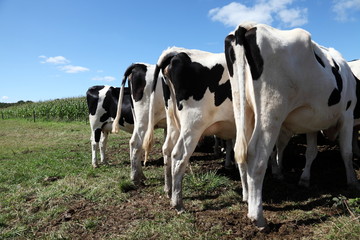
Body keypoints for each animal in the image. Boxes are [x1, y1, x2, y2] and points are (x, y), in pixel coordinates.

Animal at [142, 47, 235, 210]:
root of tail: (178, 52)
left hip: (173, 121)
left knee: (167, 149)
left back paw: (168, 190)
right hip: (193, 124)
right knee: (178, 155)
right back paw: (177, 202)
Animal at [225, 23, 360, 231]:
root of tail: (248, 25)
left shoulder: (313, 122)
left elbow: (311, 152)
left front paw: (304, 179)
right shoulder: (348, 113)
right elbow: (346, 152)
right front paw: (352, 181)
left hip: (242, 108)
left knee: (241, 152)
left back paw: (247, 199)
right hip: (271, 111)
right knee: (256, 155)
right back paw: (258, 217)